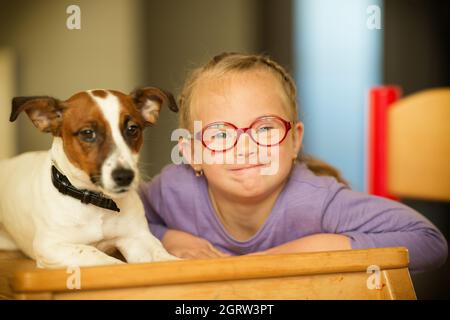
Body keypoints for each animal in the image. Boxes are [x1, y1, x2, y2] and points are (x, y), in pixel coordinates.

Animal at [0, 87, 179, 268]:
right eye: (87, 133)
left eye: (132, 129)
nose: (125, 176)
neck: (95, 201)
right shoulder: (52, 247)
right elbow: (99, 255)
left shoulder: (137, 238)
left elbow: (161, 256)